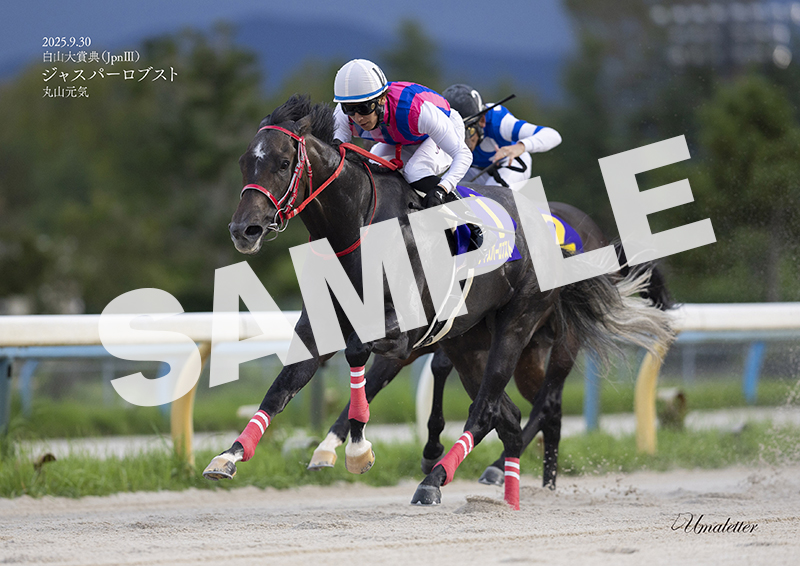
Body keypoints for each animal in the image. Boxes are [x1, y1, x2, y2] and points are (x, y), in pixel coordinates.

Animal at [202, 95, 673, 508]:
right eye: (245, 162)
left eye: (283, 163)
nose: (244, 230)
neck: (359, 228)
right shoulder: (323, 327)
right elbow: (281, 388)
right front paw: (229, 455)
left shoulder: (405, 333)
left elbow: (358, 355)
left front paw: (356, 449)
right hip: (472, 344)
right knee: (509, 416)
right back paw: (510, 493)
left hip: (522, 327)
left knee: (493, 409)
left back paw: (437, 480)